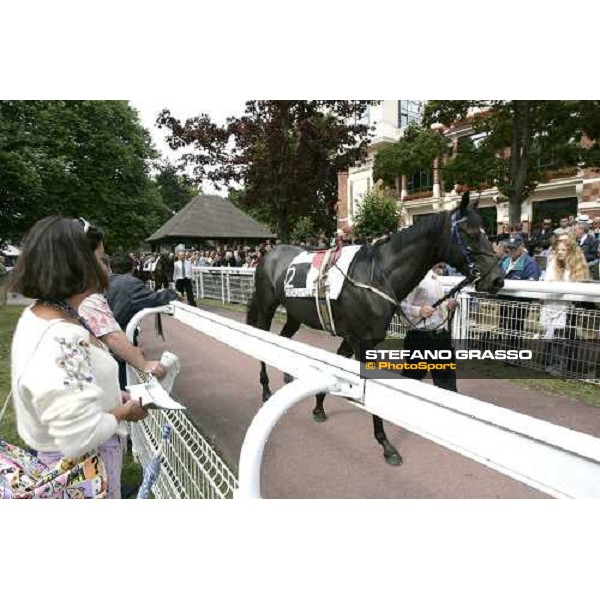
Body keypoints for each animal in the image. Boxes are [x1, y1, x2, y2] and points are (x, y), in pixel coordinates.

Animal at [246, 195, 504, 466]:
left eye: (487, 232)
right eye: (471, 234)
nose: (497, 279)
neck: (377, 276)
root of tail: (269, 254)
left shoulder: (353, 338)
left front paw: (318, 407)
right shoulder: (362, 342)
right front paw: (386, 444)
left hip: (294, 315)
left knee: (283, 337)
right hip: (266, 307)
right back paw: (266, 389)